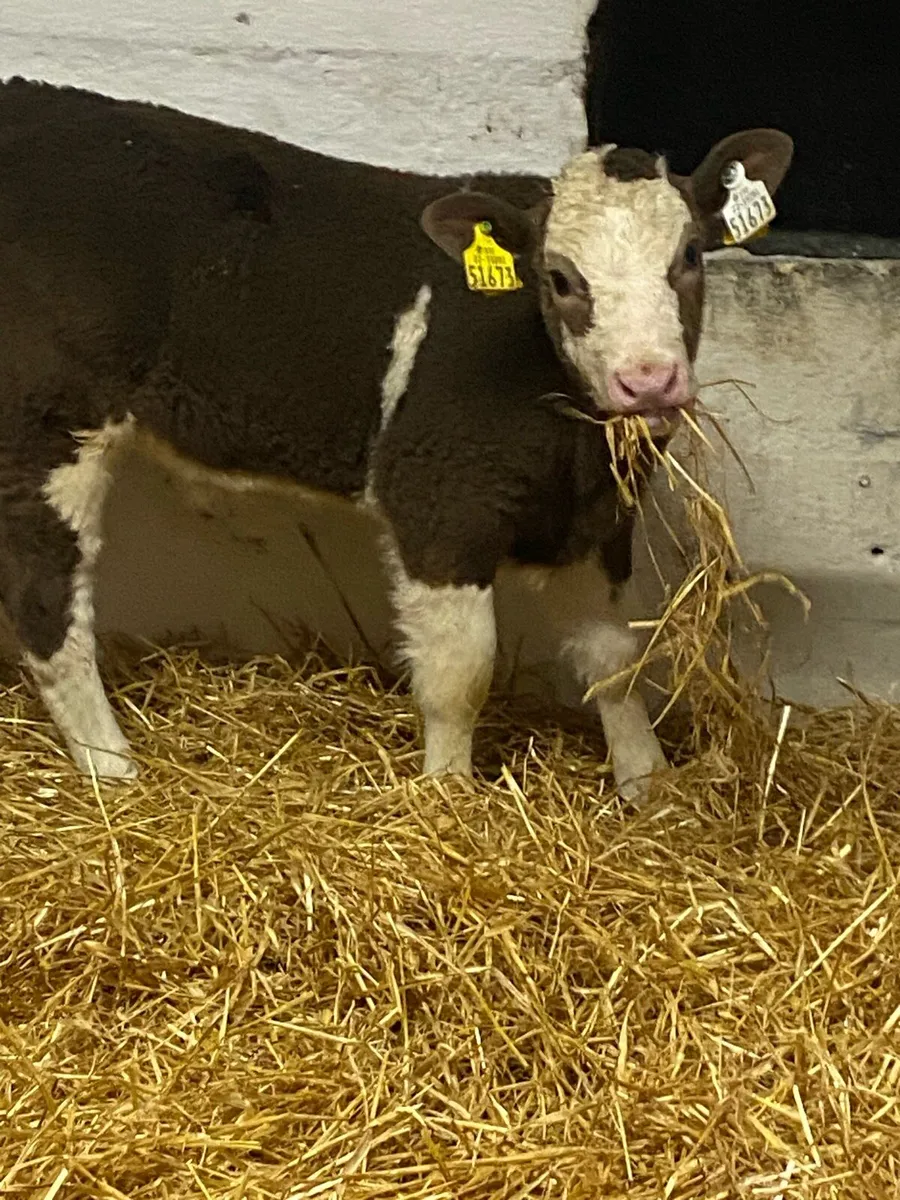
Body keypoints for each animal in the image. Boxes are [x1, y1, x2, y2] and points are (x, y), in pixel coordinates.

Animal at [0, 79, 792, 798]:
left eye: (689, 256)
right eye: (561, 278)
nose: (648, 380)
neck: (566, 442)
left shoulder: (596, 519)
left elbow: (614, 659)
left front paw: (647, 788)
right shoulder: (438, 504)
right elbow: (459, 674)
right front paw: (447, 797)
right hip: (48, 428)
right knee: (47, 602)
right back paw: (113, 771)